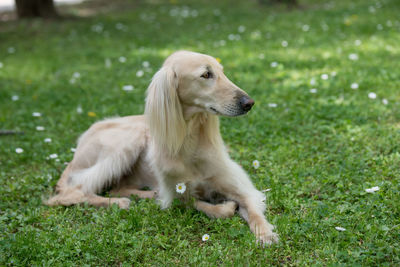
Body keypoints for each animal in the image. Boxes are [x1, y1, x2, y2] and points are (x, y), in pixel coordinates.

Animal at [46, 50, 278, 245]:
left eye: (221, 72)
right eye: (206, 74)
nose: (249, 103)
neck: (190, 143)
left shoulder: (241, 187)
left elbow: (252, 209)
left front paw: (265, 233)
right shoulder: (176, 194)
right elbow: (199, 205)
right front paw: (225, 206)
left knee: (115, 187)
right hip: (126, 140)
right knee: (71, 194)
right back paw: (119, 203)